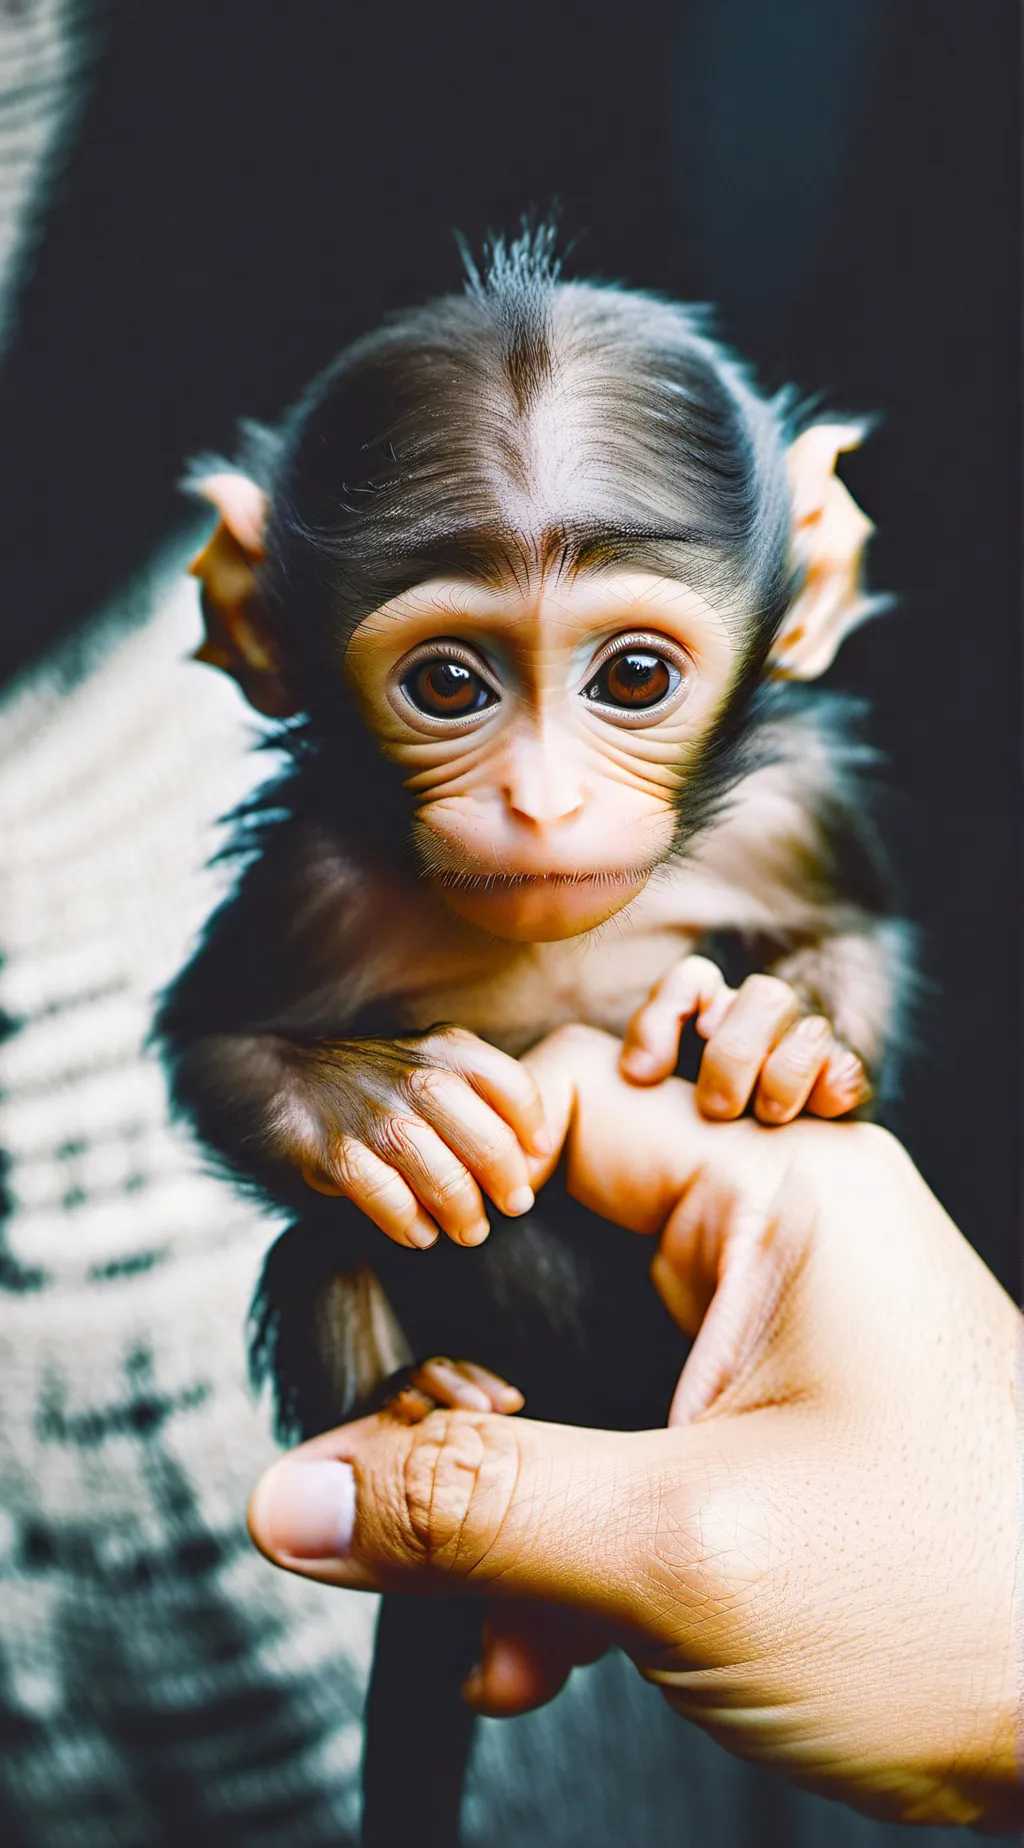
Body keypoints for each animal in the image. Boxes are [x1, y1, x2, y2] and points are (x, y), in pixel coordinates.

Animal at [155, 228, 912, 1845]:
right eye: (451, 682)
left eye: (631, 676)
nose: (546, 803)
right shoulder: (314, 878)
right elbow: (215, 1042)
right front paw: (384, 1120)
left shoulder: (793, 807)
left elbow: (856, 933)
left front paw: (781, 1033)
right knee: (321, 1248)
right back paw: (419, 1396)